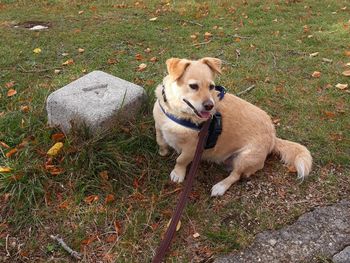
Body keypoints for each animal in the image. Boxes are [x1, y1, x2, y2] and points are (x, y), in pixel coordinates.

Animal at [153, 58, 312, 198]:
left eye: (211, 87)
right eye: (193, 86)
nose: (210, 106)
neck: (178, 114)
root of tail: (273, 136)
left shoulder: (192, 149)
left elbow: (181, 160)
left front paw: (178, 173)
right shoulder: (159, 128)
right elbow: (160, 141)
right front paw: (163, 151)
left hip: (244, 158)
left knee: (236, 176)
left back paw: (220, 187)